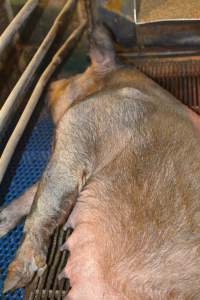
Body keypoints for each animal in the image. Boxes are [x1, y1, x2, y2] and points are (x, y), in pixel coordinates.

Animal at [1, 24, 200, 298]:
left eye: (78, 72)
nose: (52, 83)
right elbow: (32, 193)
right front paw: (1, 221)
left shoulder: (84, 122)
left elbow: (47, 195)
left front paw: (11, 282)